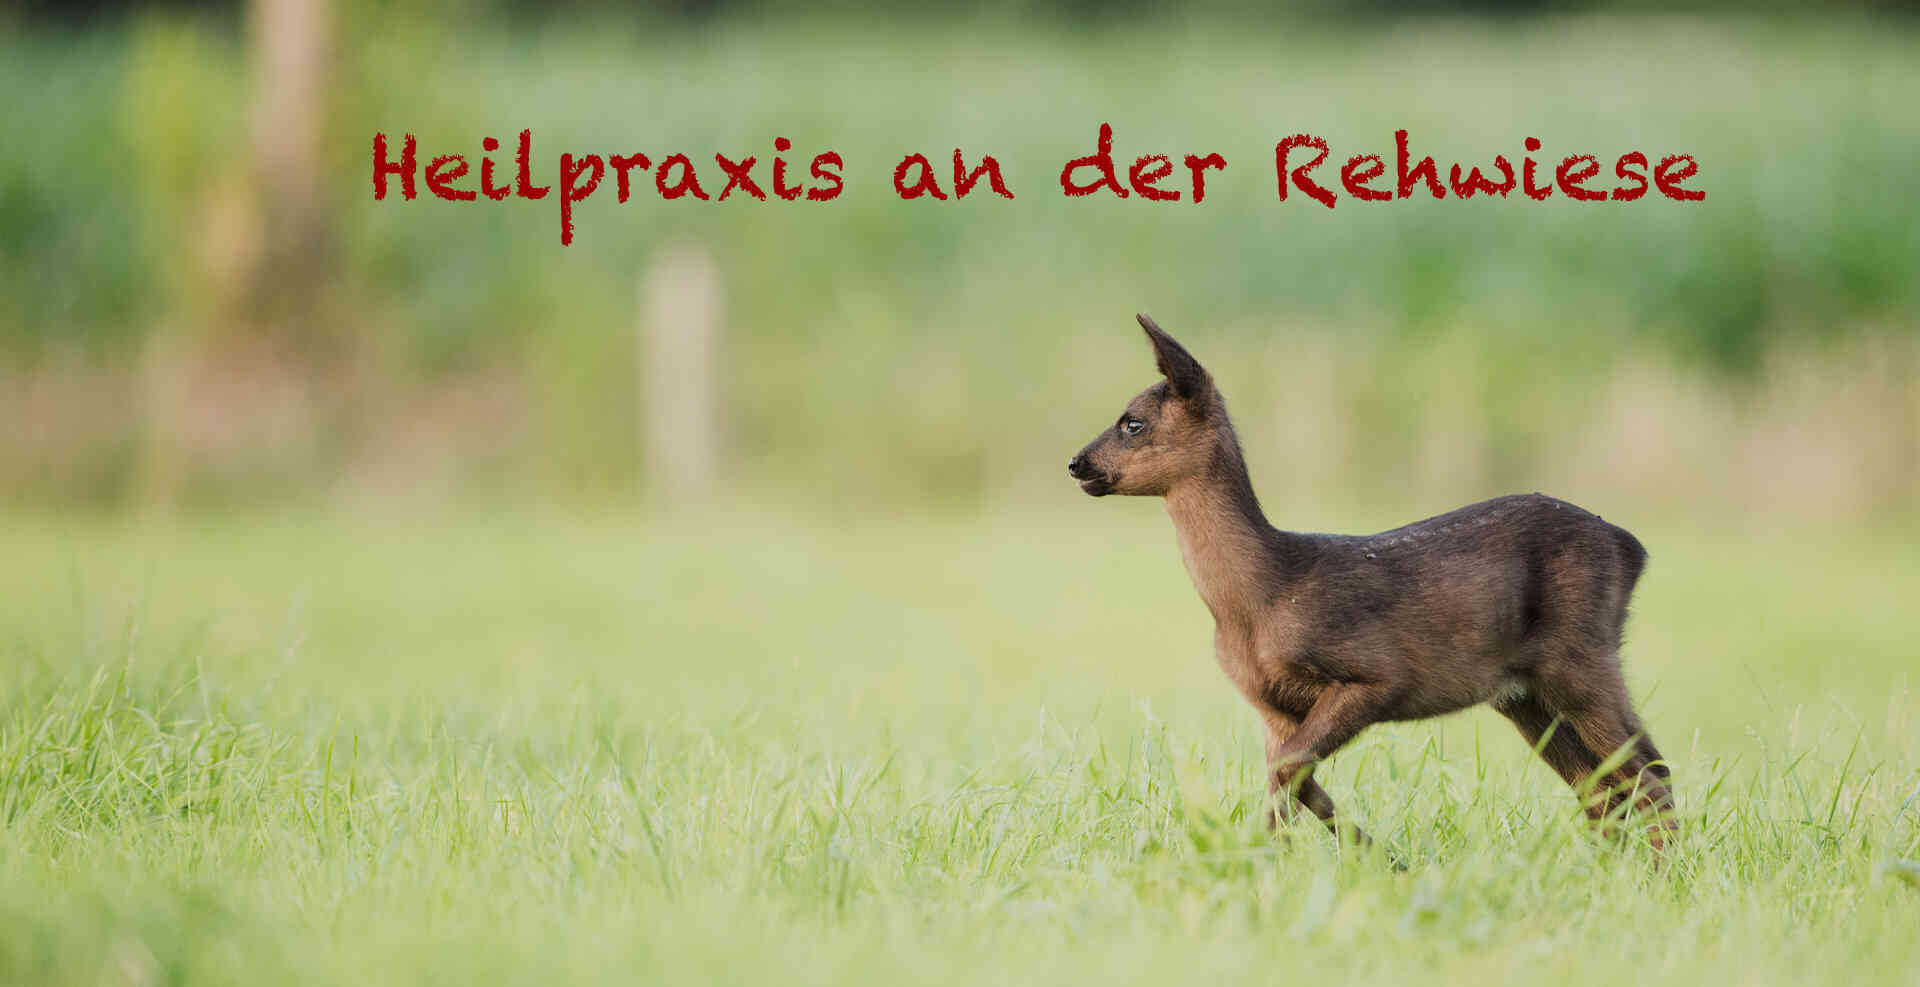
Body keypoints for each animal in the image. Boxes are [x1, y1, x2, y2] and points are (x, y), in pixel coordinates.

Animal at [1067, 314, 1675, 848]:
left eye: (1132, 422)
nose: (1077, 463)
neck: (1260, 595)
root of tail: (1632, 547)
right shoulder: (1269, 706)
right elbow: (1298, 781)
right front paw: (1372, 858)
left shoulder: (1377, 674)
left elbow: (1290, 774)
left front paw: (1280, 860)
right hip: (1523, 693)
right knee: (1603, 788)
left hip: (1580, 654)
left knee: (1648, 773)